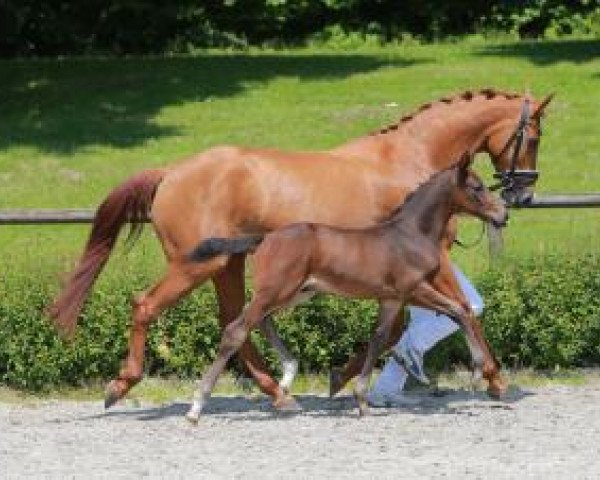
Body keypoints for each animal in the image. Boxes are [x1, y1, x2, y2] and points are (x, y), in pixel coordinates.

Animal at [185, 156, 508, 422]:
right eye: (477, 187)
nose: (503, 215)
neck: (410, 234)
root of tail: (264, 238)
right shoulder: (412, 289)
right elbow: (459, 311)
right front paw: (477, 372)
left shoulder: (391, 299)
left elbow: (379, 338)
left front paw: (361, 399)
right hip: (277, 291)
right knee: (236, 330)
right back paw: (197, 407)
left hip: (294, 292)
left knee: (262, 322)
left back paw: (287, 376)